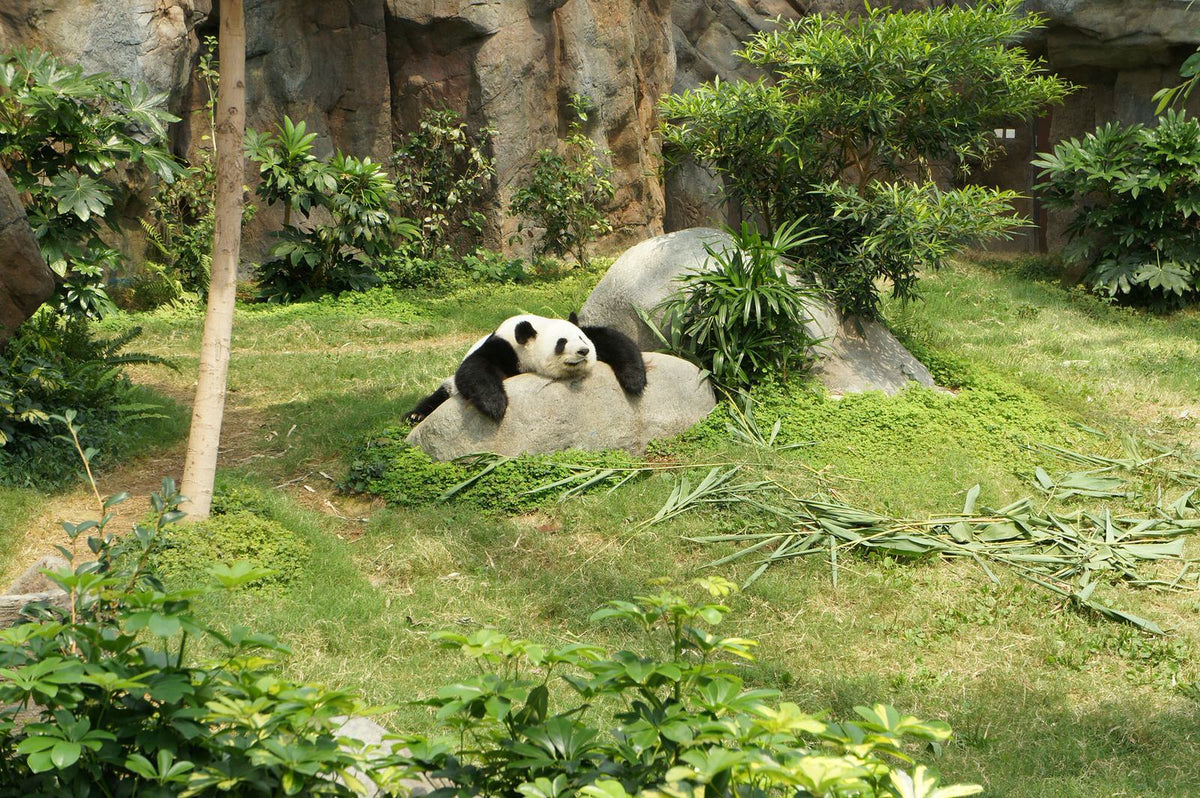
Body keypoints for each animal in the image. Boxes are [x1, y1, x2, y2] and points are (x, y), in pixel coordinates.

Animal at [408, 312, 648, 422]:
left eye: (581, 338)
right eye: (562, 342)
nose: (584, 351)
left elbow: (614, 339)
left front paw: (634, 381)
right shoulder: (503, 348)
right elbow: (474, 369)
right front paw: (495, 405)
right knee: (443, 392)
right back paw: (415, 416)